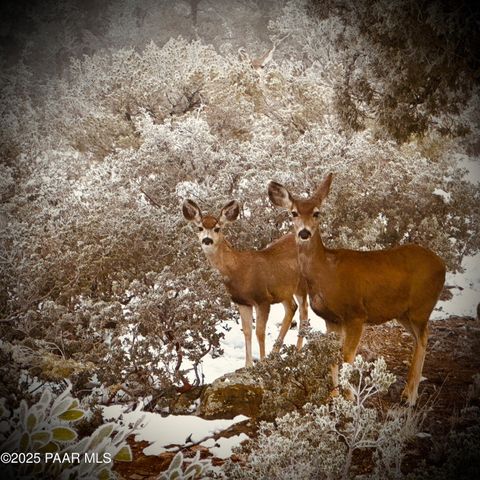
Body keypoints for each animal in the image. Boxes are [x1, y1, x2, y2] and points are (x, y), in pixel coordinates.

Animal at [182, 199, 310, 368]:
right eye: (200, 228)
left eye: (217, 228)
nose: (207, 240)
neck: (239, 270)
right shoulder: (242, 302)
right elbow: (247, 331)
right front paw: (248, 365)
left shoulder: (262, 299)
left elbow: (259, 332)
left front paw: (262, 363)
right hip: (283, 290)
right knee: (292, 307)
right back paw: (275, 354)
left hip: (301, 283)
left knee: (304, 311)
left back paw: (297, 352)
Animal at [268, 172, 448, 404]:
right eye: (294, 213)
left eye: (317, 213)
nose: (304, 233)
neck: (326, 271)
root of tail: (442, 264)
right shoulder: (331, 319)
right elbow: (332, 356)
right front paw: (333, 397)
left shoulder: (356, 314)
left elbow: (347, 356)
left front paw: (350, 396)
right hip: (403, 313)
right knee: (420, 338)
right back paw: (407, 392)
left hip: (421, 306)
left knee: (424, 338)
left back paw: (410, 396)